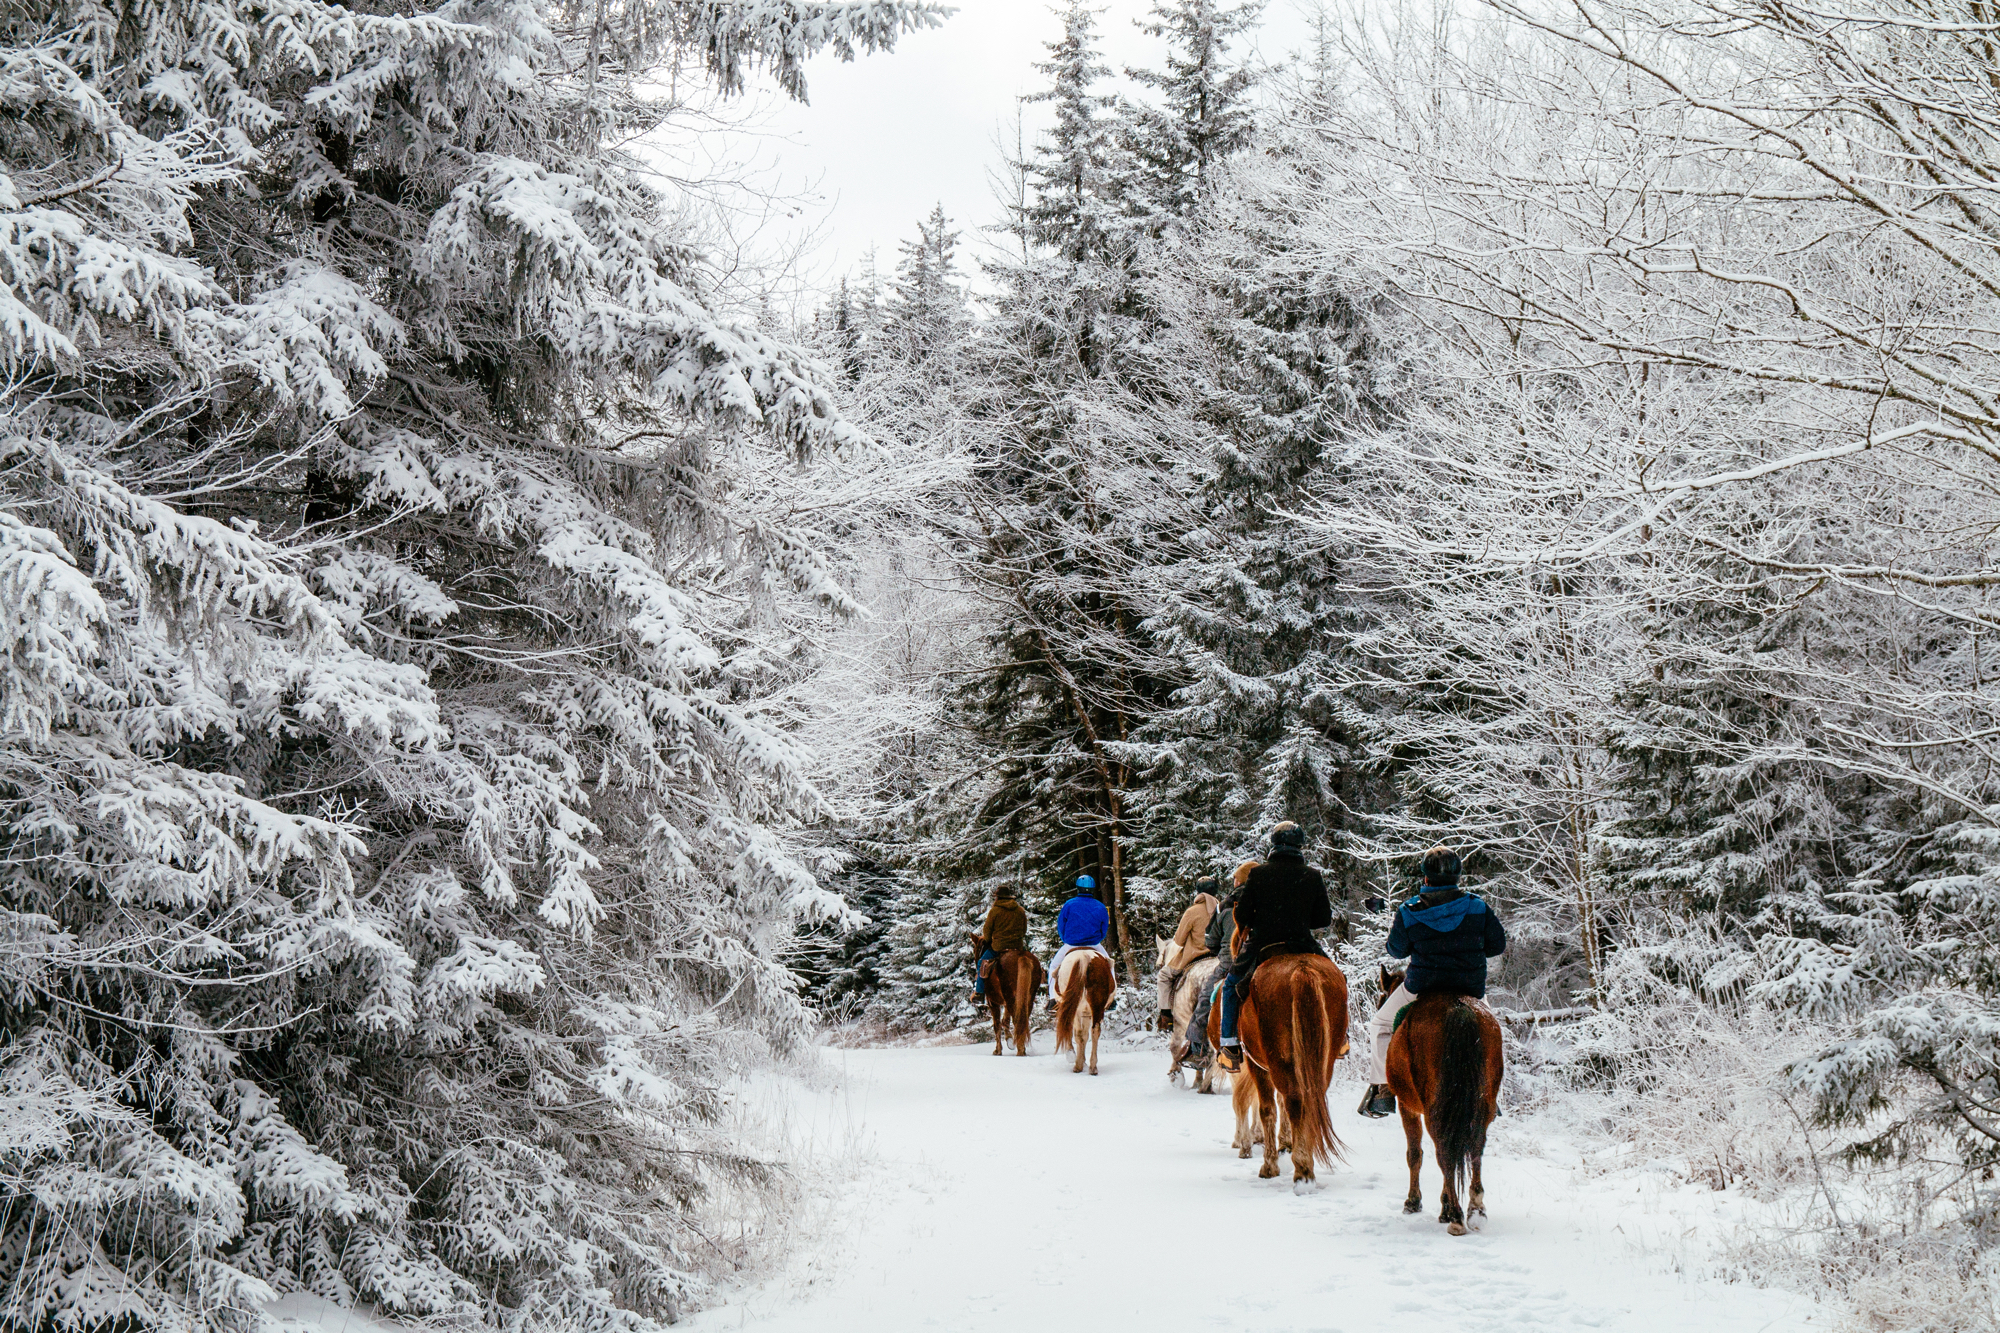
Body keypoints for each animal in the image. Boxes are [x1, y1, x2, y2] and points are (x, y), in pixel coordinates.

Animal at [1056, 944, 1120, 1072]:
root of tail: (1084, 957)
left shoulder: (1082, 1013)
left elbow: (1082, 1036)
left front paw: (1080, 1061)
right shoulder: (1086, 1013)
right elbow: (1085, 1035)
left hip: (1078, 1010)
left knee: (1080, 1033)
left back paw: (1080, 1065)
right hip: (1095, 1007)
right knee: (1094, 1031)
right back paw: (1092, 1067)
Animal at [1200, 944, 1344, 1184]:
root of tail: (1302, 971)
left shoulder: (1252, 1065)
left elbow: (1257, 1106)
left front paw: (1253, 1150)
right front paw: (1282, 1143)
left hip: (1275, 1061)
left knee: (1291, 1102)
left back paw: (1299, 1168)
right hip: (1321, 1062)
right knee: (1310, 1100)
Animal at [1384, 960, 1504, 1232]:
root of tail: (1460, 1009)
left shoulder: (1407, 1106)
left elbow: (1414, 1154)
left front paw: (1415, 1202)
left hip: (1435, 1108)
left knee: (1443, 1150)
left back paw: (1456, 1216)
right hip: (1481, 1105)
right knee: (1474, 1148)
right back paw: (1475, 1210)